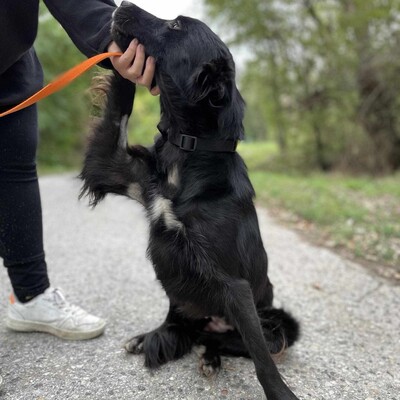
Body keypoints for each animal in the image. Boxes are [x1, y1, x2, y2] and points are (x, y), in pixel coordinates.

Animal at [80, 3, 300, 400]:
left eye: (176, 26)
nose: (121, 6)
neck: (186, 152)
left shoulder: (235, 286)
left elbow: (262, 360)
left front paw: (280, 393)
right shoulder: (111, 166)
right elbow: (117, 109)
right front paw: (120, 62)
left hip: (276, 322)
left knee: (234, 341)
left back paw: (209, 356)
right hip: (183, 308)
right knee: (184, 330)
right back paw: (150, 336)